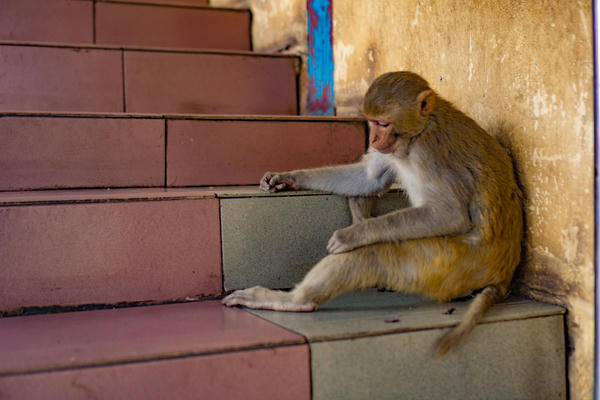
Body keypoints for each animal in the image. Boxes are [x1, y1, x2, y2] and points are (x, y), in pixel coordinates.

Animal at [223, 71, 524, 356]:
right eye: (371, 122)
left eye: (383, 123)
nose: (374, 139)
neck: (418, 131)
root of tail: (502, 275)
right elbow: (369, 178)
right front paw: (288, 177)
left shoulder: (430, 153)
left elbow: (450, 215)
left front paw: (354, 234)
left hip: (452, 263)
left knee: (372, 255)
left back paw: (296, 301)